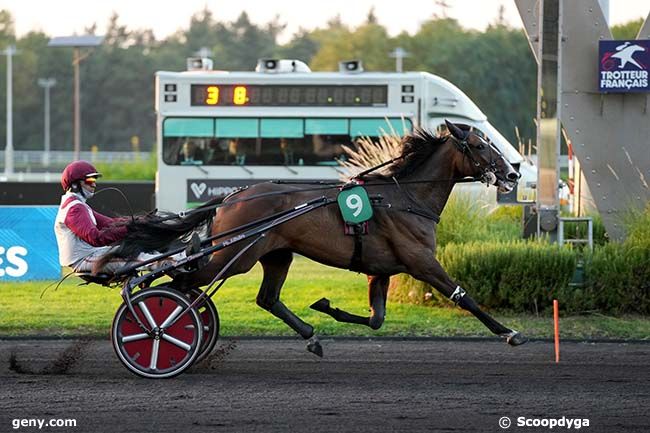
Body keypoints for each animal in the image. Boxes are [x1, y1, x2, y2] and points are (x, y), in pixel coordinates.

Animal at [111, 120, 528, 354]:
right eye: (480, 145)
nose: (513, 173)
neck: (406, 198)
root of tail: (232, 197)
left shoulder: (381, 270)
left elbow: (376, 320)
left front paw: (326, 306)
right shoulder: (421, 263)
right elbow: (463, 296)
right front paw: (509, 332)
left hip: (276, 254)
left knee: (264, 298)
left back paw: (310, 336)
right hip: (237, 256)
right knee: (179, 280)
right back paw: (155, 323)